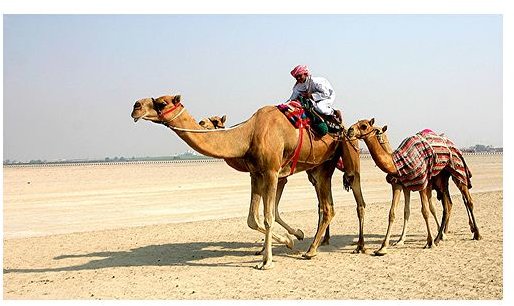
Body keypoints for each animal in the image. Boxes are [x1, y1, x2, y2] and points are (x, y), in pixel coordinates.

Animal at [130, 94, 366, 268]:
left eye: (162, 102)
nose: (136, 106)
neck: (249, 135)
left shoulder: (272, 172)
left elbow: (269, 216)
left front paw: (268, 260)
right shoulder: (256, 173)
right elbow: (254, 218)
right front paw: (289, 239)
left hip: (335, 160)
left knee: (332, 205)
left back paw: (314, 250)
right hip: (318, 167)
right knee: (325, 206)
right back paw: (315, 245)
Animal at [346, 119, 478, 256]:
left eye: (364, 126)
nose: (350, 130)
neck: (398, 163)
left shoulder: (422, 183)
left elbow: (425, 211)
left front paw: (429, 242)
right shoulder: (400, 185)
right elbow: (396, 212)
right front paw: (384, 247)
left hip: (456, 170)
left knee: (467, 200)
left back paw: (475, 234)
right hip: (441, 179)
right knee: (448, 205)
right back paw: (440, 237)